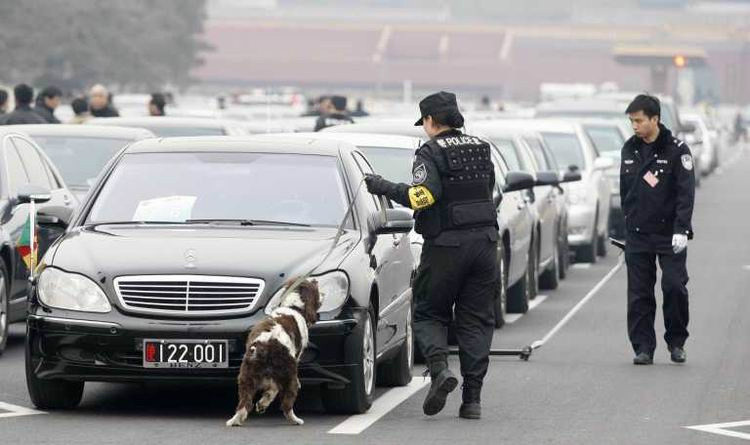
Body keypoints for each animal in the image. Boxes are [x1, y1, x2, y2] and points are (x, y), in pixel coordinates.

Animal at [225, 278, 322, 426]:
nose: (316, 279)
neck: (293, 307)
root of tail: (265, 344)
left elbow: (270, 390)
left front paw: (262, 404)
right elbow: (274, 390)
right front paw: (263, 403)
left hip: (246, 376)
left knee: (244, 403)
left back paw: (235, 421)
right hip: (289, 375)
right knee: (287, 404)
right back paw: (295, 420)